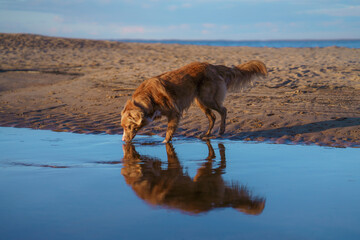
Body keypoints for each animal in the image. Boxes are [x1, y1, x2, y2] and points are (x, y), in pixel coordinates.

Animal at [121, 60, 268, 142]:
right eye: (122, 127)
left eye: (128, 127)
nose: (123, 140)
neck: (149, 97)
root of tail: (213, 66)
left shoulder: (174, 113)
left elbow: (169, 132)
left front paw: (165, 143)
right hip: (200, 101)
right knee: (212, 117)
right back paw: (207, 134)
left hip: (207, 99)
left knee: (223, 110)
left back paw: (221, 130)